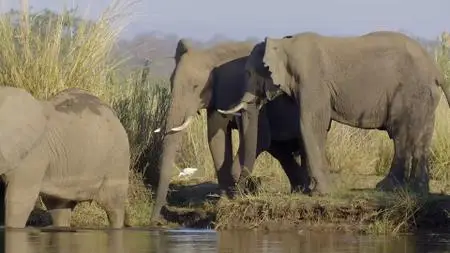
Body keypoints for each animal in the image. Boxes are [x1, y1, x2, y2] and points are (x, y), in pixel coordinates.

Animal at [151, 39, 312, 221]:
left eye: (195, 86)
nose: (155, 220)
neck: (212, 55)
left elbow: (260, 137)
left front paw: (236, 189)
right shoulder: (219, 95)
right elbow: (215, 138)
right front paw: (225, 199)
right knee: (282, 151)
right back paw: (299, 189)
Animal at [219, 30, 450, 196]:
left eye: (248, 73)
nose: (247, 184)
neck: (283, 43)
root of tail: (436, 69)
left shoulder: (311, 80)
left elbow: (311, 124)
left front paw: (320, 193)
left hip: (410, 91)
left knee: (400, 133)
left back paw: (387, 187)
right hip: (425, 96)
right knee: (421, 135)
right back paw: (418, 190)